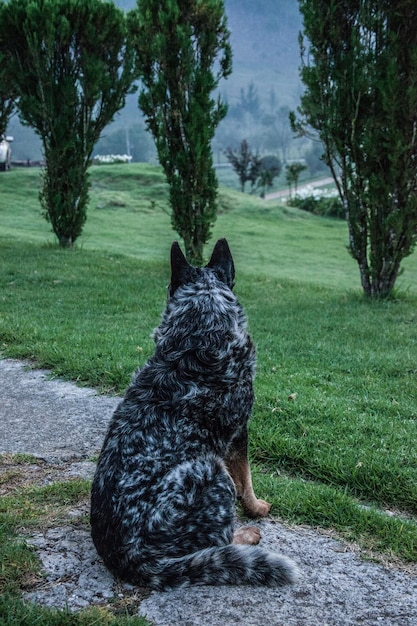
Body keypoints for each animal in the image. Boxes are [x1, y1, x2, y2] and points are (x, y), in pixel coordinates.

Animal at [91, 236, 300, 588]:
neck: (196, 344)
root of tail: (127, 559)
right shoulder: (239, 432)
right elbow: (247, 477)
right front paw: (256, 507)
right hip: (209, 471)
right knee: (219, 540)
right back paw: (245, 536)